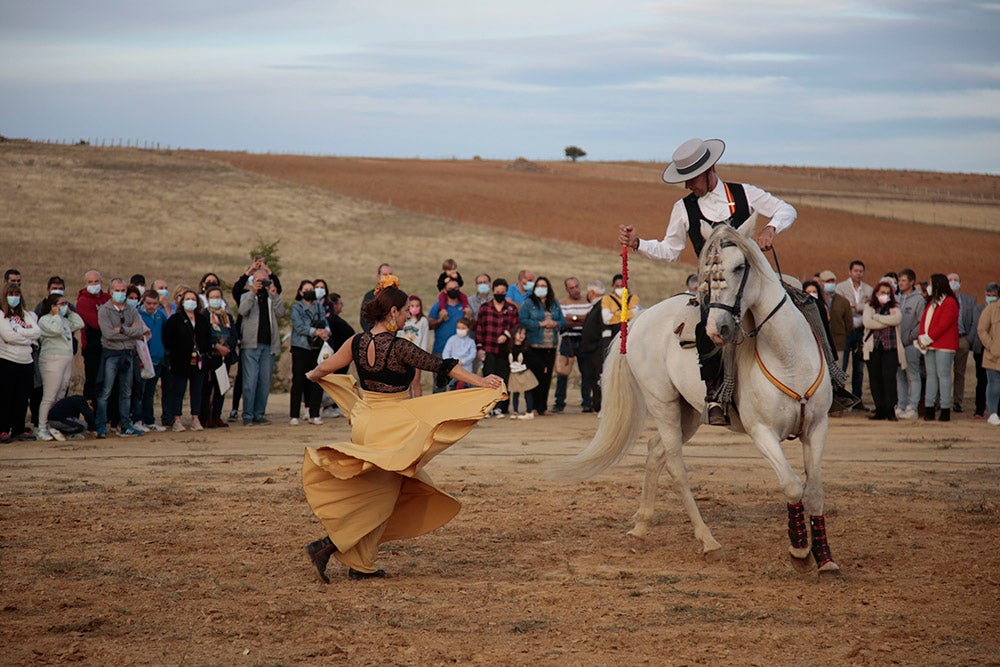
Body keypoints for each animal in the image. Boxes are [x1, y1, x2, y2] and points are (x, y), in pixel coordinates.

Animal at [560, 217, 840, 576]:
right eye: (706, 271)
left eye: (740, 266)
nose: (717, 329)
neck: (787, 355)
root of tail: (639, 319)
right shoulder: (762, 432)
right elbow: (792, 485)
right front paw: (799, 551)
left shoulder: (817, 427)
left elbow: (815, 491)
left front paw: (825, 558)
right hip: (663, 404)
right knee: (675, 466)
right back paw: (708, 541)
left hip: (689, 413)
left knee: (655, 451)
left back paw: (641, 526)